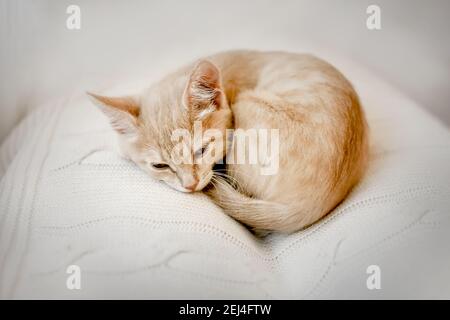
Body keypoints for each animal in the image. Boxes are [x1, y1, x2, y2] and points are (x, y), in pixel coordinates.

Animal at [89, 50, 370, 235]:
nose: (191, 186)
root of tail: (310, 205)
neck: (227, 77)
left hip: (249, 102)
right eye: (160, 166)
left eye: (202, 150)